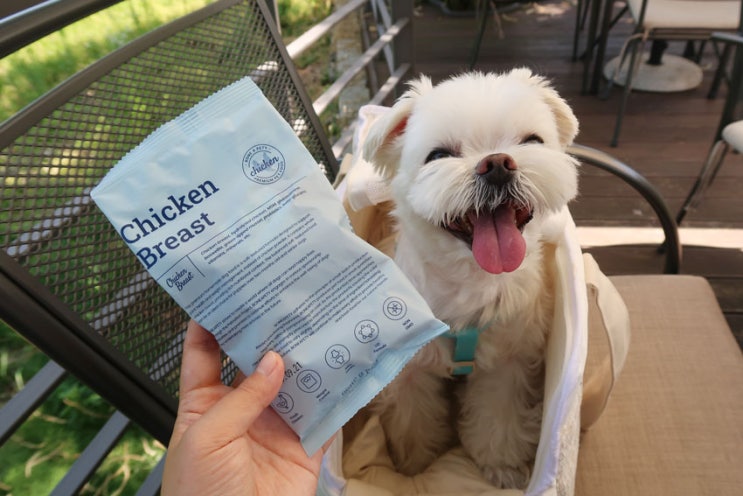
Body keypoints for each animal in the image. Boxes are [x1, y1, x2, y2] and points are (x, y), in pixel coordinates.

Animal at [362, 69, 579, 489]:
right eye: (438, 156)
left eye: (532, 141)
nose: (496, 163)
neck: (473, 281)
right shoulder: (410, 375)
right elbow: (412, 421)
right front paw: (414, 465)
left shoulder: (508, 364)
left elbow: (499, 416)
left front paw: (501, 465)